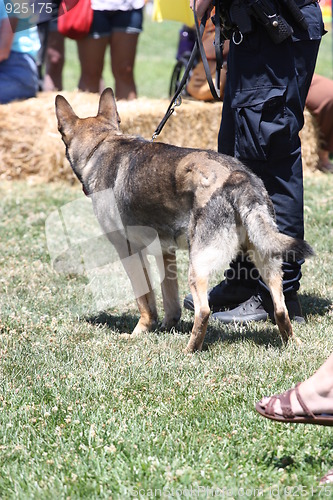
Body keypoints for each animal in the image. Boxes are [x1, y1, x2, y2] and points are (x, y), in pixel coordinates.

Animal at [54, 88, 312, 352]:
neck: (100, 145)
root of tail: (239, 176)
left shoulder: (129, 252)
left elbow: (145, 301)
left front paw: (139, 333)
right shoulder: (164, 252)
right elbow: (169, 299)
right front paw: (166, 326)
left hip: (197, 264)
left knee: (204, 310)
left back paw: (189, 350)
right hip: (267, 260)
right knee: (280, 309)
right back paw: (292, 343)